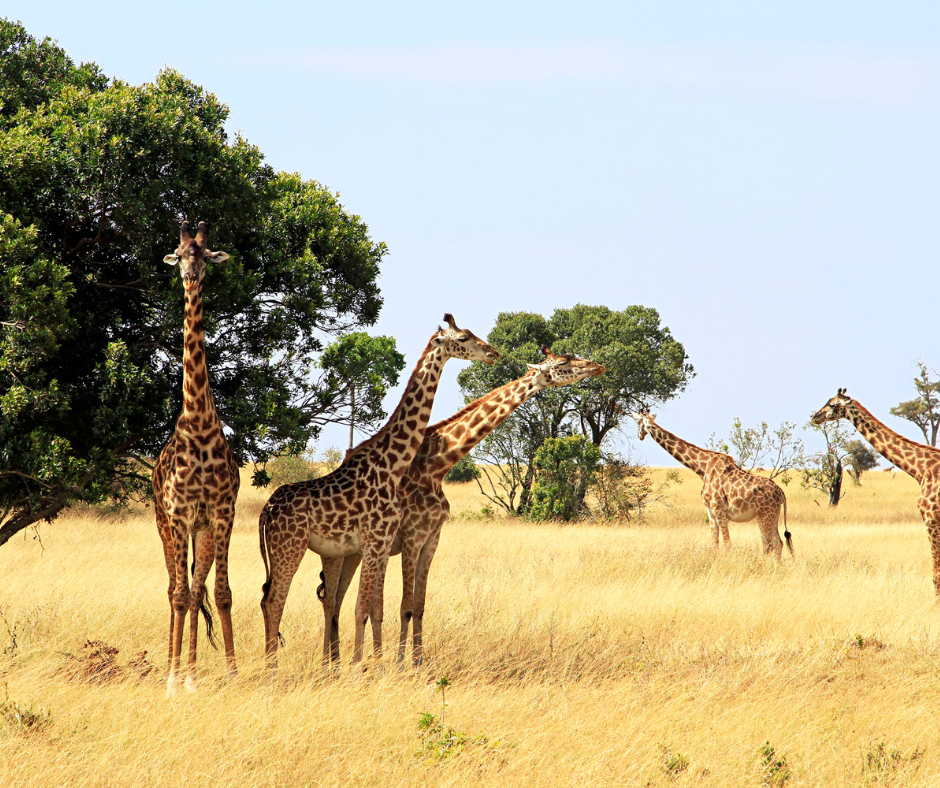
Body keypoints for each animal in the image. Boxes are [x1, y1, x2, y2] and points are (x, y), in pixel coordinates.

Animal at [258, 316, 500, 672]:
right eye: (463, 338)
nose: (492, 352)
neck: (392, 465)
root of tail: (267, 510)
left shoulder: (382, 545)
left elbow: (374, 608)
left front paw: (371, 664)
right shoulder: (377, 541)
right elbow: (365, 608)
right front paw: (363, 667)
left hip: (305, 551)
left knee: (284, 600)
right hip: (290, 547)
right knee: (276, 601)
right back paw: (273, 671)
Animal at [320, 344, 604, 664]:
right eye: (564, 362)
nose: (597, 366)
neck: (437, 465)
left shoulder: (433, 538)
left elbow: (419, 606)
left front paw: (418, 663)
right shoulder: (413, 537)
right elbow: (405, 606)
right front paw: (401, 664)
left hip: (356, 552)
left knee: (337, 600)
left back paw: (335, 662)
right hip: (340, 551)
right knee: (330, 601)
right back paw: (332, 664)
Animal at [632, 410, 792, 556]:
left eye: (638, 422)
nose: (639, 436)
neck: (702, 469)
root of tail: (781, 493)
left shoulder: (718, 509)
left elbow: (727, 544)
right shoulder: (710, 511)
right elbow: (714, 543)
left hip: (763, 515)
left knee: (768, 544)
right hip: (773, 515)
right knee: (778, 542)